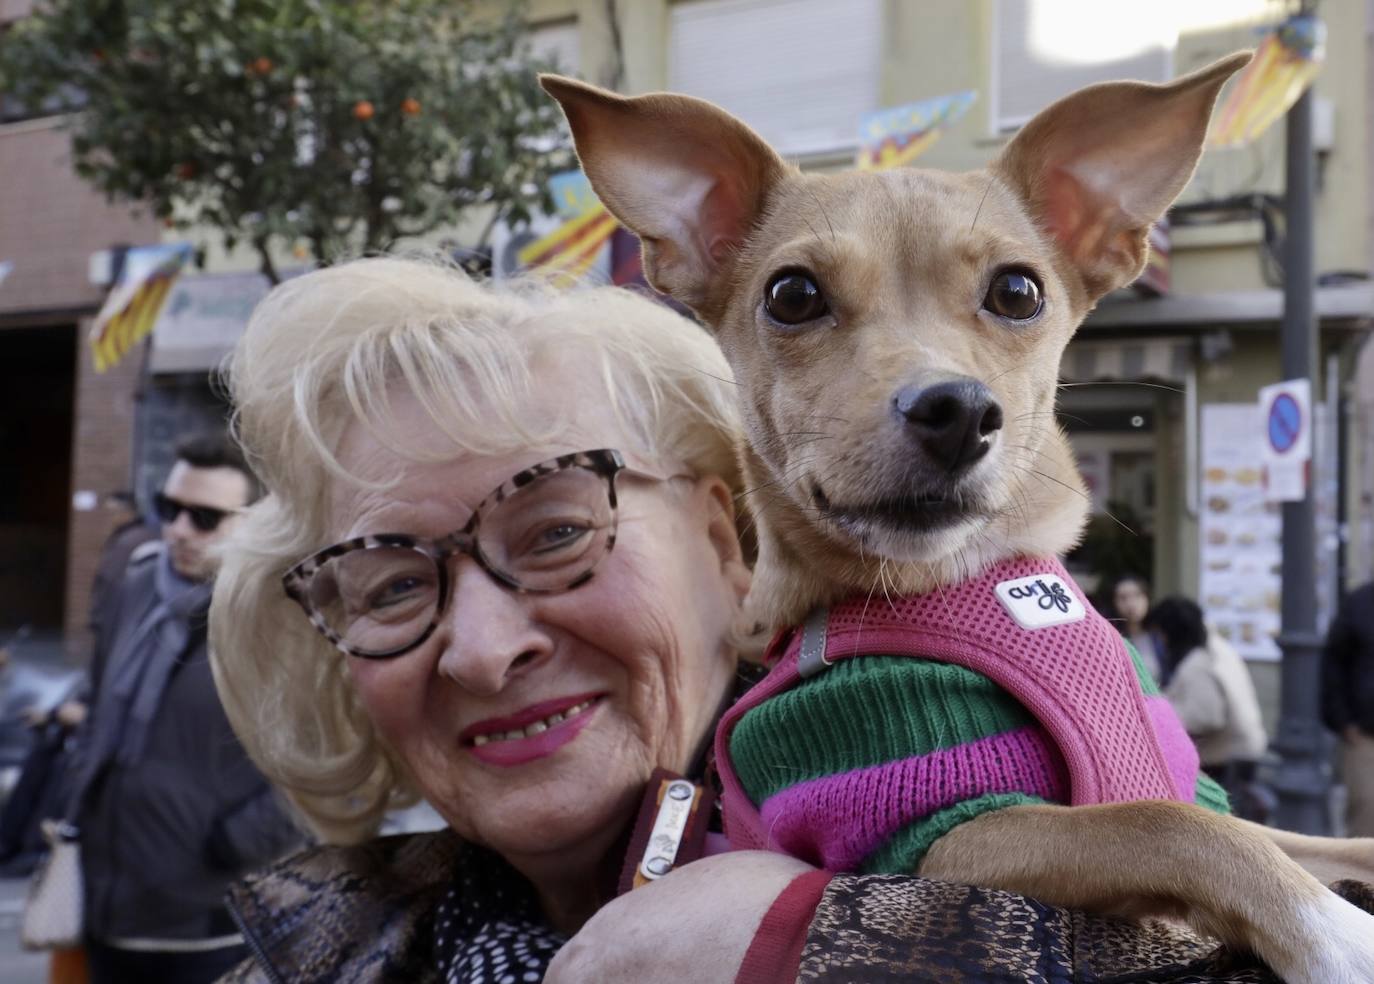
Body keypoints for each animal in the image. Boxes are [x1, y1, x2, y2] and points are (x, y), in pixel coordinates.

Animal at [541, 57, 1374, 978]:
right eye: (792, 295)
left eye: (1017, 290)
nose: (957, 410)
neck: (974, 577)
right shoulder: (940, 834)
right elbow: (1170, 825)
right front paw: (1339, 936)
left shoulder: (1200, 785)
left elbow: (1300, 838)